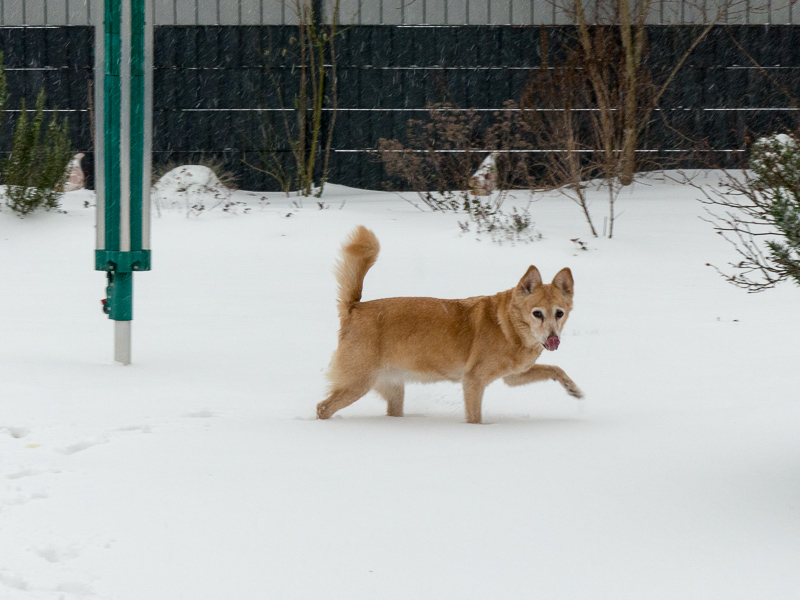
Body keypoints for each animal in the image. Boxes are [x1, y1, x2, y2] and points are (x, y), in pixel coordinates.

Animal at [316, 226, 584, 426]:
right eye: (537, 313)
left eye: (559, 313)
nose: (553, 339)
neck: (509, 326)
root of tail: (354, 307)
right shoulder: (473, 381)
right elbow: (475, 418)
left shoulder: (513, 376)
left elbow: (555, 369)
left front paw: (573, 389)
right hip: (357, 383)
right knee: (322, 407)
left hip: (393, 388)